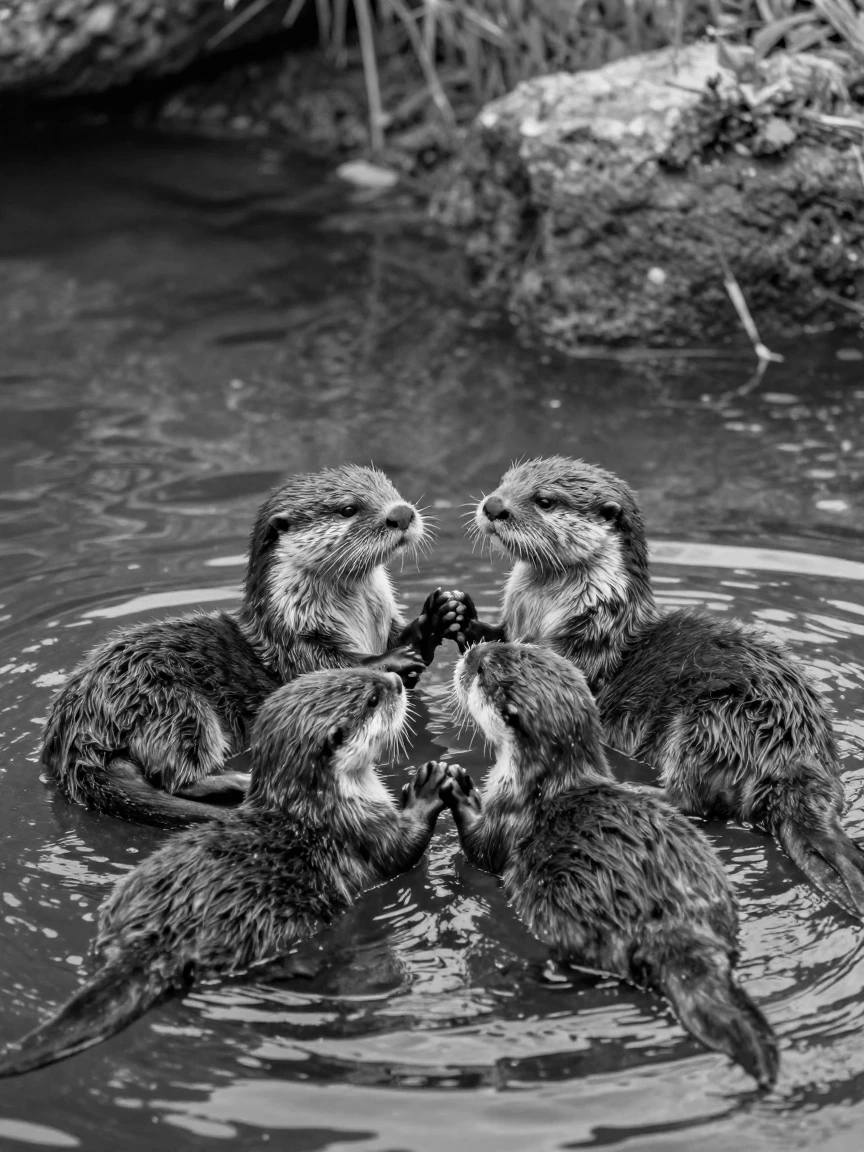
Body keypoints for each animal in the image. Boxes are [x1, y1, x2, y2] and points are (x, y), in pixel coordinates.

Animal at [0, 667, 448, 1078]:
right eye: (372, 699)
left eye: (353, 670)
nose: (395, 680)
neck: (327, 804)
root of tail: (154, 936)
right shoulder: (364, 831)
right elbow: (403, 852)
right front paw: (426, 789)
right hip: (257, 925)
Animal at [44, 464, 445, 828]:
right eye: (349, 509)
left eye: (390, 489)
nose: (401, 513)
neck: (359, 622)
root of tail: (77, 732)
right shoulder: (298, 646)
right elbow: (330, 666)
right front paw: (394, 658)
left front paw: (436, 618)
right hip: (172, 704)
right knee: (175, 774)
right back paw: (237, 781)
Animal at [435, 455, 864, 919]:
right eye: (505, 481)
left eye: (544, 500)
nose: (494, 506)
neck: (563, 612)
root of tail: (799, 755)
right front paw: (458, 613)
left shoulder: (579, 655)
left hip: (712, 720)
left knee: (694, 799)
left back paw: (640, 788)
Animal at [442, 642, 779, 1088]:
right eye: (514, 645)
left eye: (483, 672)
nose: (470, 652)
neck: (542, 784)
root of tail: (676, 924)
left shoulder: (507, 819)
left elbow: (479, 851)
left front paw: (457, 789)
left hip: (582, 923)